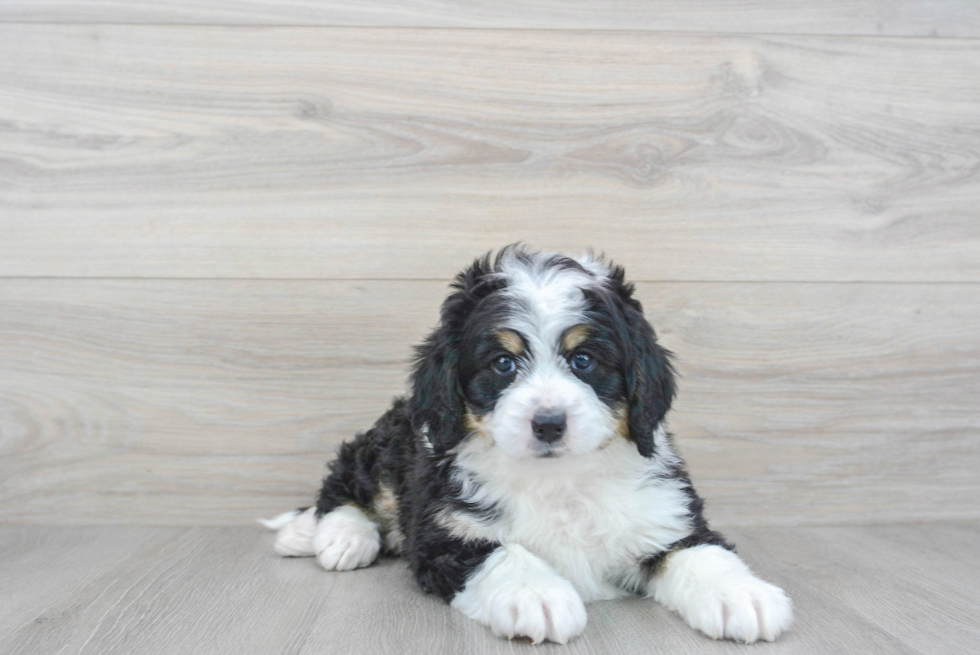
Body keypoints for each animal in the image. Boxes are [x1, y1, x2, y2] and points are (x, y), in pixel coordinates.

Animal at [262, 246, 796, 644]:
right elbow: (501, 553)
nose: (549, 423)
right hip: (394, 442)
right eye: (502, 363)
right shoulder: (445, 534)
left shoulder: (665, 516)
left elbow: (698, 552)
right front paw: (536, 596)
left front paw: (740, 595)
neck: (559, 479)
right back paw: (330, 536)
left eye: (584, 360)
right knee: (348, 481)